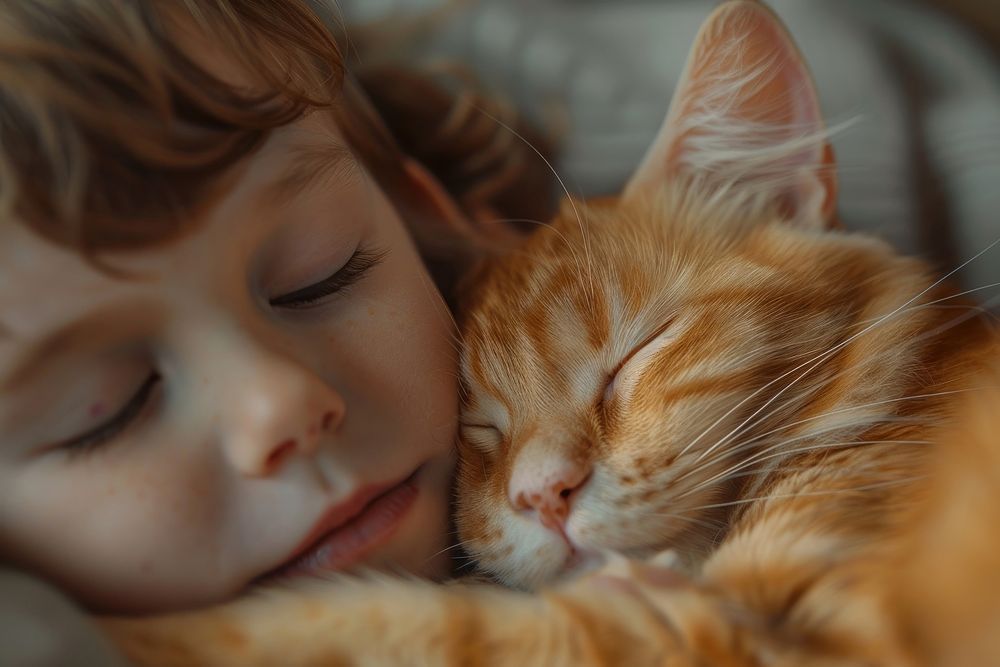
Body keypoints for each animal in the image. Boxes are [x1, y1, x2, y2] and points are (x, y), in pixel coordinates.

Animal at [97, 2, 996, 664]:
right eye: (480, 427)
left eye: (636, 355)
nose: (542, 495)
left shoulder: (784, 634)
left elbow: (401, 622)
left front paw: (124, 627)